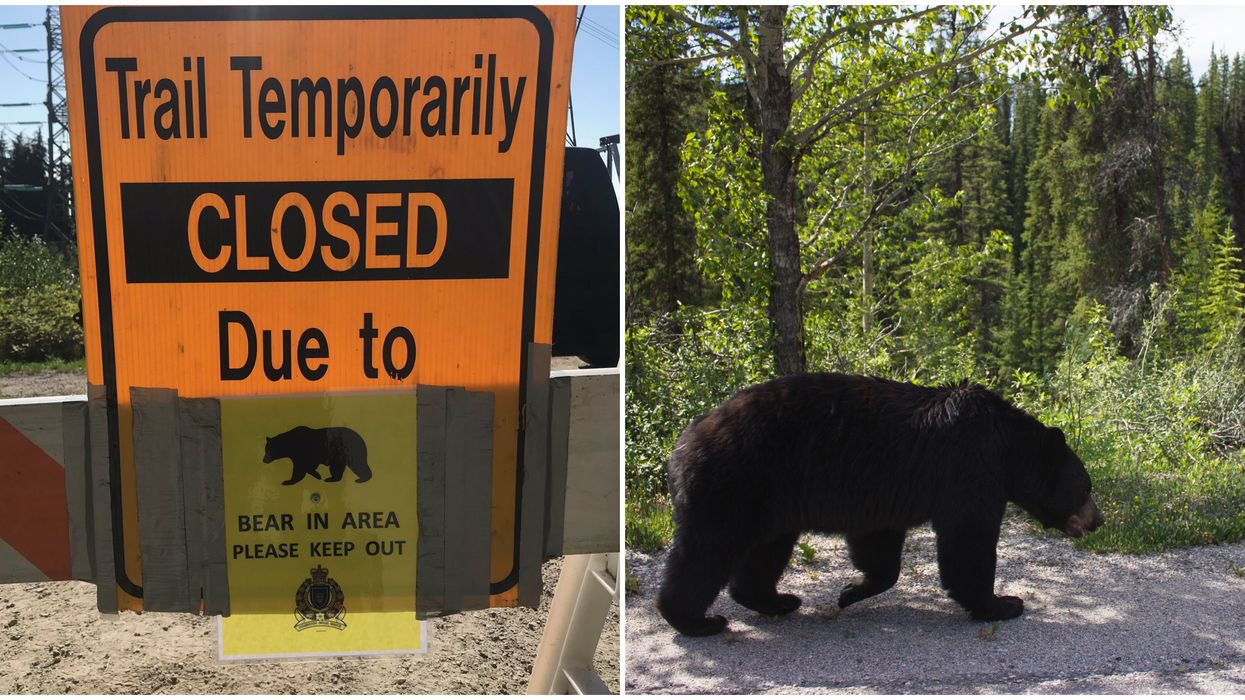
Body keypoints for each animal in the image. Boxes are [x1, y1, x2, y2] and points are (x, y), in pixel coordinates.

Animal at [656, 372, 1103, 637]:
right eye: (1085, 487)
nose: (1098, 520)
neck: (1007, 447)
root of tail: (683, 442)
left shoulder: (882, 494)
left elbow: (879, 546)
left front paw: (851, 590)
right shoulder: (970, 469)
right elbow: (968, 540)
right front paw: (1002, 603)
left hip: (769, 500)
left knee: (766, 551)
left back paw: (779, 600)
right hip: (732, 484)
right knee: (707, 552)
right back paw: (696, 619)